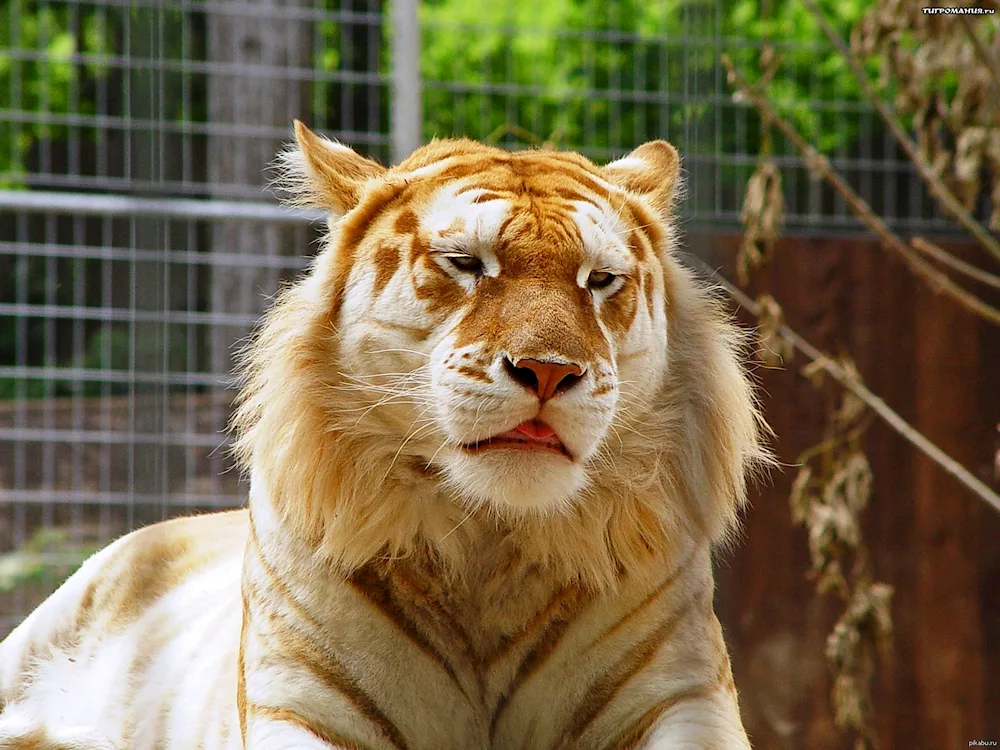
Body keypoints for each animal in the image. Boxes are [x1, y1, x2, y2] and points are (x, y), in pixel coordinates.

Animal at [0, 120, 772, 748]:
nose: (549, 371)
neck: (491, 544)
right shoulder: (304, 704)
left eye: (601, 280)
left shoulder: (683, 695)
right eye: (466, 263)